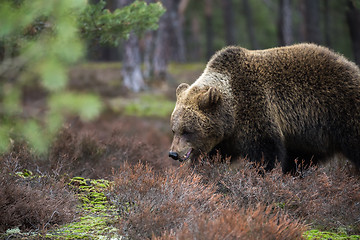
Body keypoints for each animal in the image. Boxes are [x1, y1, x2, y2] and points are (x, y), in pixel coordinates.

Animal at [168, 43, 360, 173]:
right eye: (174, 130)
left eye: (187, 130)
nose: (173, 154)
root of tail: (351, 65)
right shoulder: (225, 137)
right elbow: (213, 156)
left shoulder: (256, 110)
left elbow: (265, 154)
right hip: (309, 136)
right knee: (301, 159)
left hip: (341, 110)